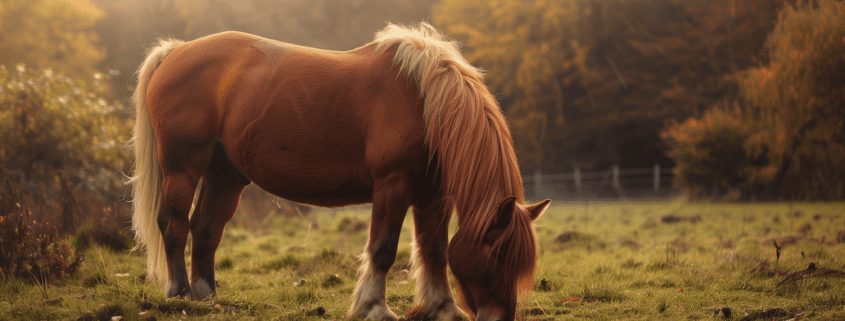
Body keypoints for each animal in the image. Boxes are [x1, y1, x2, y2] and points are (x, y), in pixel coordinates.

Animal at [125, 22, 548, 320]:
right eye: (498, 254)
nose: (499, 318)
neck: (425, 103)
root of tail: (176, 51)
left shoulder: (434, 197)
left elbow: (435, 251)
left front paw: (440, 308)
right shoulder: (393, 185)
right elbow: (383, 250)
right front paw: (374, 308)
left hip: (225, 175)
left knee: (206, 229)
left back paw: (207, 296)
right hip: (182, 167)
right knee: (174, 225)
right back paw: (179, 293)